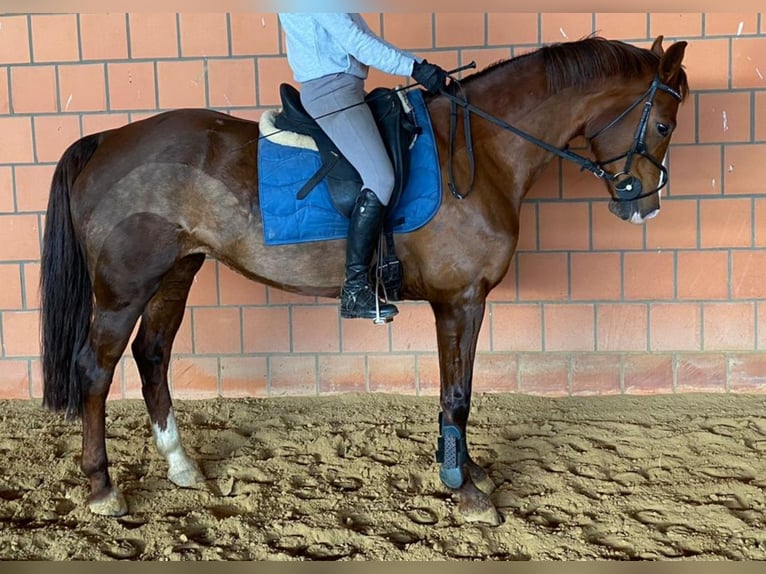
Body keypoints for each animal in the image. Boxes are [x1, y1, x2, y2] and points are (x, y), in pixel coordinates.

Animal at [39, 35, 692, 528]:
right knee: (96, 370)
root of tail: (106, 139)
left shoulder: (464, 302)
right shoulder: (460, 301)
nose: (645, 207)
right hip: (124, 287)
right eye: (663, 124)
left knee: (152, 356)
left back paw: (180, 467)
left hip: (177, 271)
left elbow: (461, 389)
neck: (479, 150)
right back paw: (102, 489)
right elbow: (457, 394)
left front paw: (469, 470)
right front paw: (466, 489)